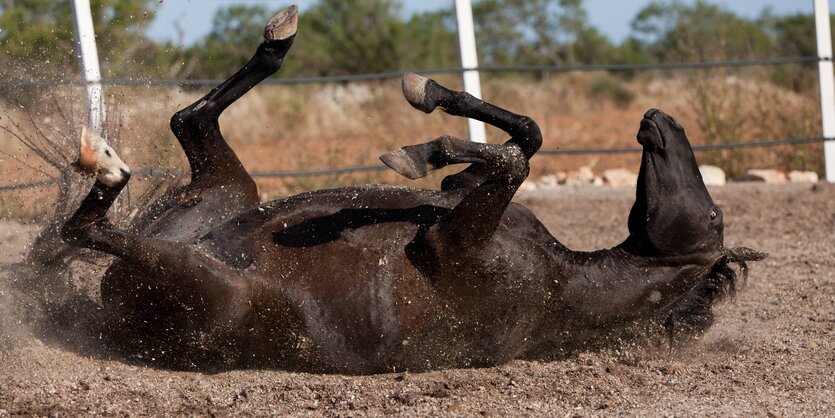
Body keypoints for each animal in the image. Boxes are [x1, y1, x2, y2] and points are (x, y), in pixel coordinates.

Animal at [58, 5, 764, 372]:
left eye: (714, 216)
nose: (661, 120)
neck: (565, 280)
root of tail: (112, 302)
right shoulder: (462, 200)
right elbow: (524, 141)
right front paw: (430, 122)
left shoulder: (455, 245)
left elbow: (516, 161)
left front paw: (424, 140)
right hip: (227, 193)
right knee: (189, 119)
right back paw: (277, 39)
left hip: (212, 285)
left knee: (87, 225)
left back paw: (106, 165)